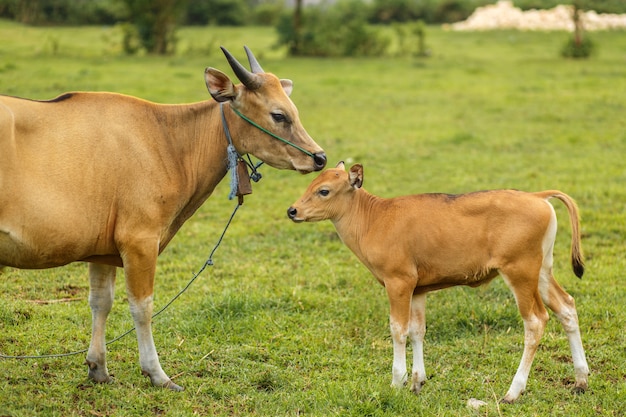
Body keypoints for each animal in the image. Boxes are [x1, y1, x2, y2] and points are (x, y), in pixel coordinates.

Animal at [1, 46, 326, 390]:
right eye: (279, 115)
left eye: (293, 110)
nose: (320, 157)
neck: (167, 140)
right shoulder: (140, 241)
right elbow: (142, 307)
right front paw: (156, 372)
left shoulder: (101, 251)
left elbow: (100, 302)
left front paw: (98, 367)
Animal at [286, 161, 588, 402]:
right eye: (311, 183)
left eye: (324, 190)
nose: (292, 210)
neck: (375, 218)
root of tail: (536, 196)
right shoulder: (418, 288)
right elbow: (417, 331)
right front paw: (417, 381)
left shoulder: (398, 282)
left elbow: (398, 330)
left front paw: (397, 381)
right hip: (542, 271)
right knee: (566, 307)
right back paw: (581, 379)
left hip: (520, 271)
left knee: (535, 321)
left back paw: (513, 391)